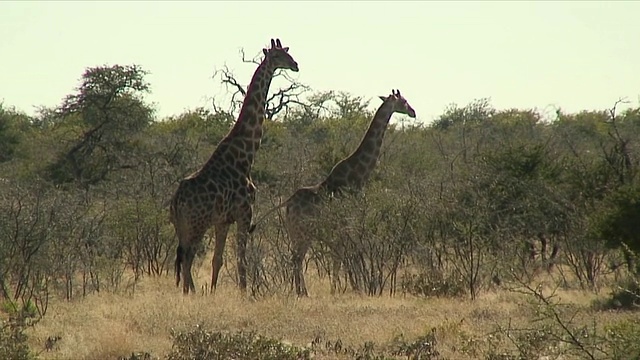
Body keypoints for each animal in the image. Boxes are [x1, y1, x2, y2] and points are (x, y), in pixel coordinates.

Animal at [170, 38, 300, 294]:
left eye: (287, 53)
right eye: (278, 56)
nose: (296, 65)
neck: (246, 155)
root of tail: (177, 200)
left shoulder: (223, 220)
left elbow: (217, 260)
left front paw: (213, 292)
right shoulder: (244, 213)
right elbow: (242, 259)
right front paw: (244, 293)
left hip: (182, 227)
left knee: (182, 259)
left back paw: (189, 292)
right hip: (197, 224)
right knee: (187, 258)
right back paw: (191, 294)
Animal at [252, 89, 418, 296]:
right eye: (403, 101)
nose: (413, 112)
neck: (357, 176)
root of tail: (288, 203)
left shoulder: (341, 228)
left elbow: (341, 256)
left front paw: (344, 287)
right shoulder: (349, 223)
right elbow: (348, 255)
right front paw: (349, 288)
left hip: (294, 231)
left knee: (295, 258)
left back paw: (300, 291)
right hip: (304, 231)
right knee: (297, 258)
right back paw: (303, 292)